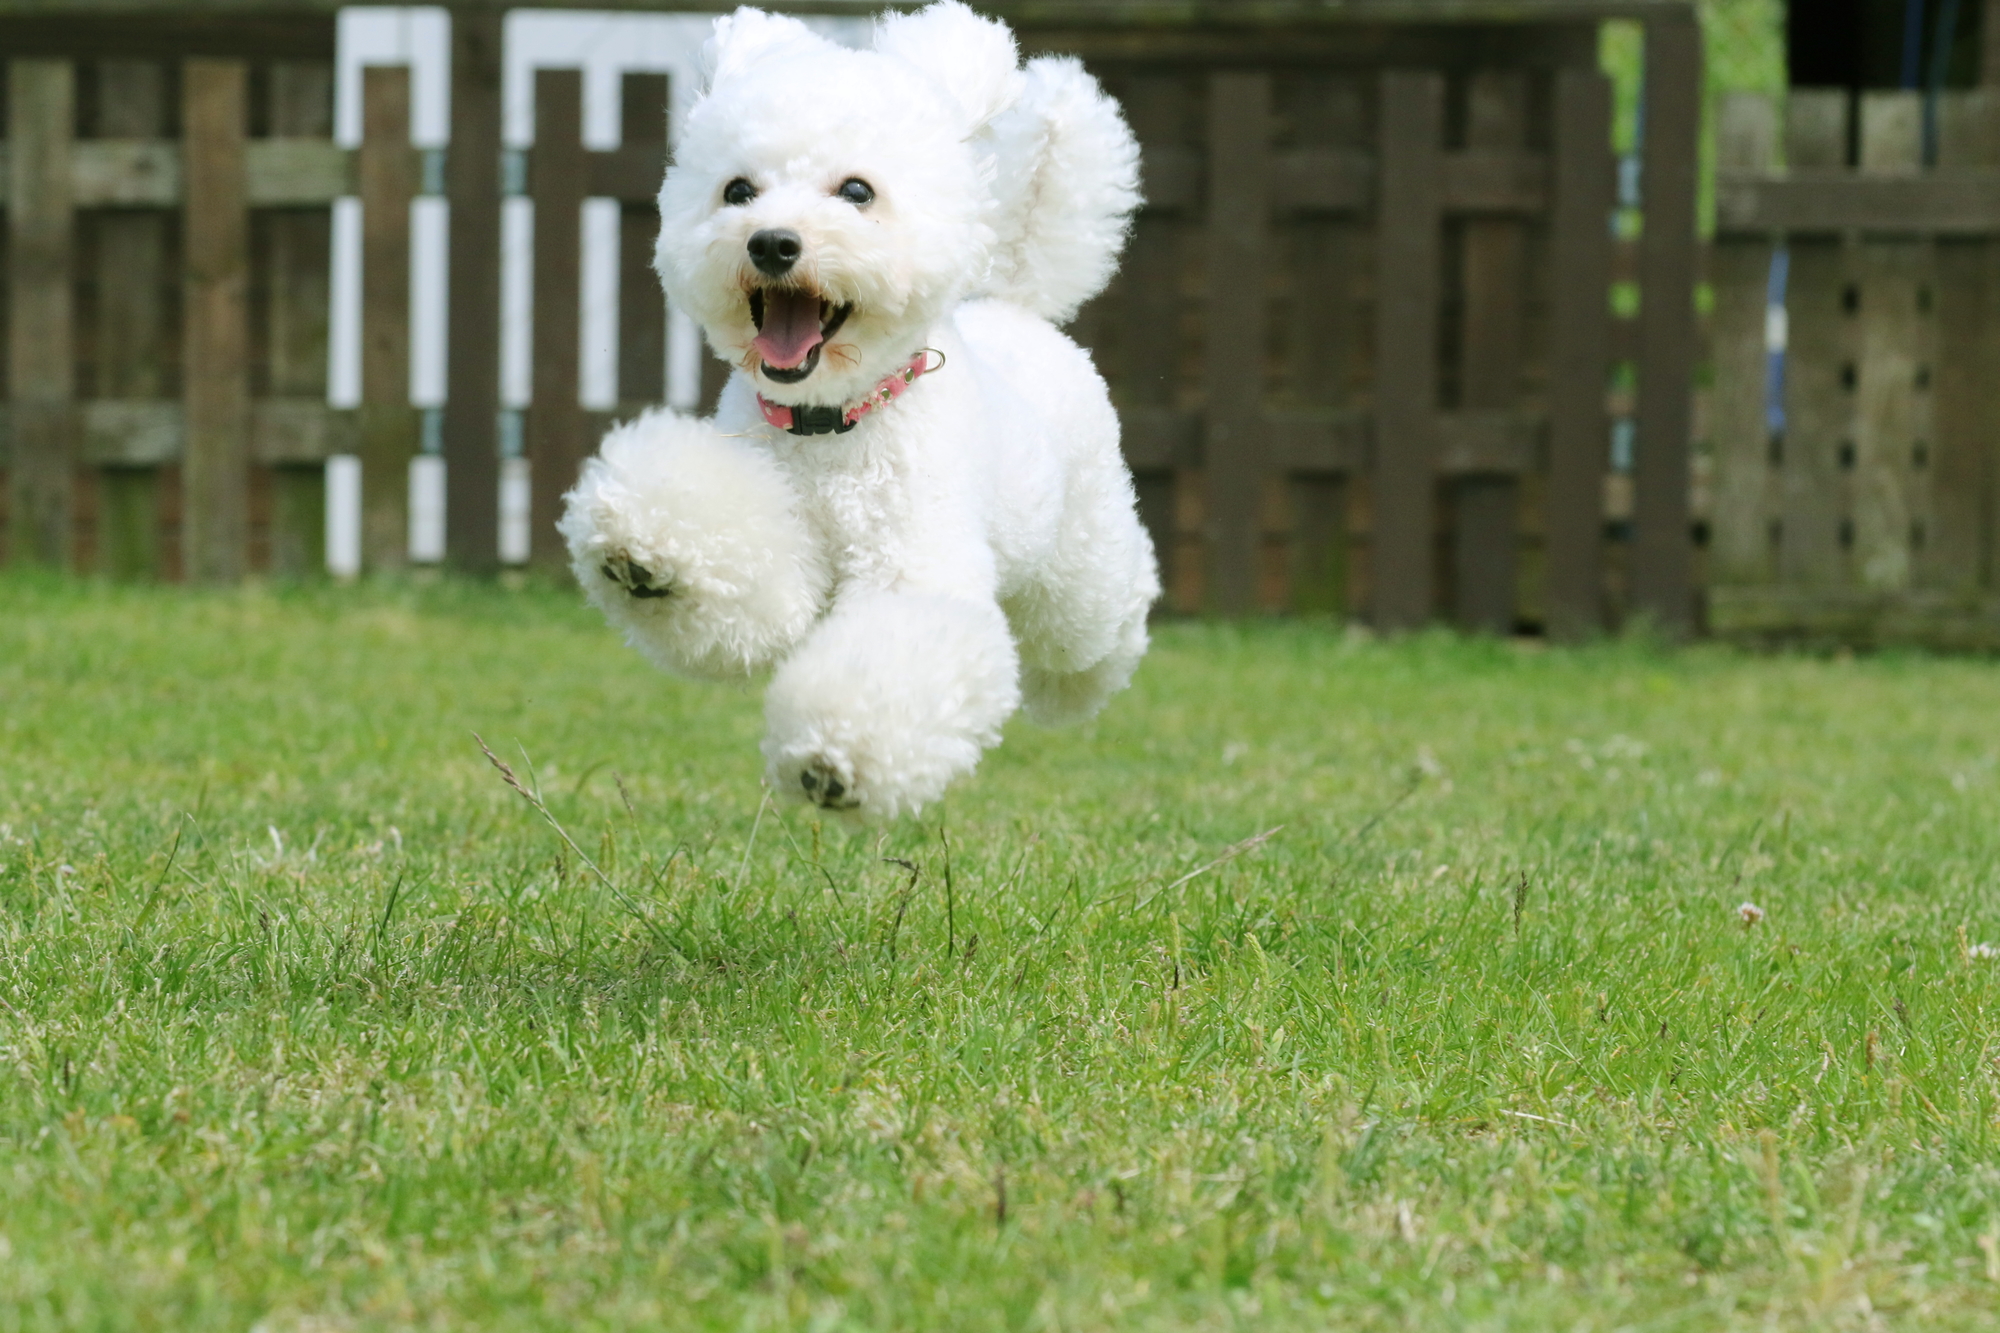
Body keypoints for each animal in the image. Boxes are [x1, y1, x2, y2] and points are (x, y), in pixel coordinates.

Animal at [560, 0, 1160, 816]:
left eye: (855, 191)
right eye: (738, 190)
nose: (772, 243)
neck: (830, 423)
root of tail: (1013, 302)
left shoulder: (912, 557)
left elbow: (895, 649)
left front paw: (834, 758)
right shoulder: (775, 529)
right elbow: (755, 589)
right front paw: (645, 557)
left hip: (1080, 561)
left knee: (1099, 623)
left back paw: (1084, 677)